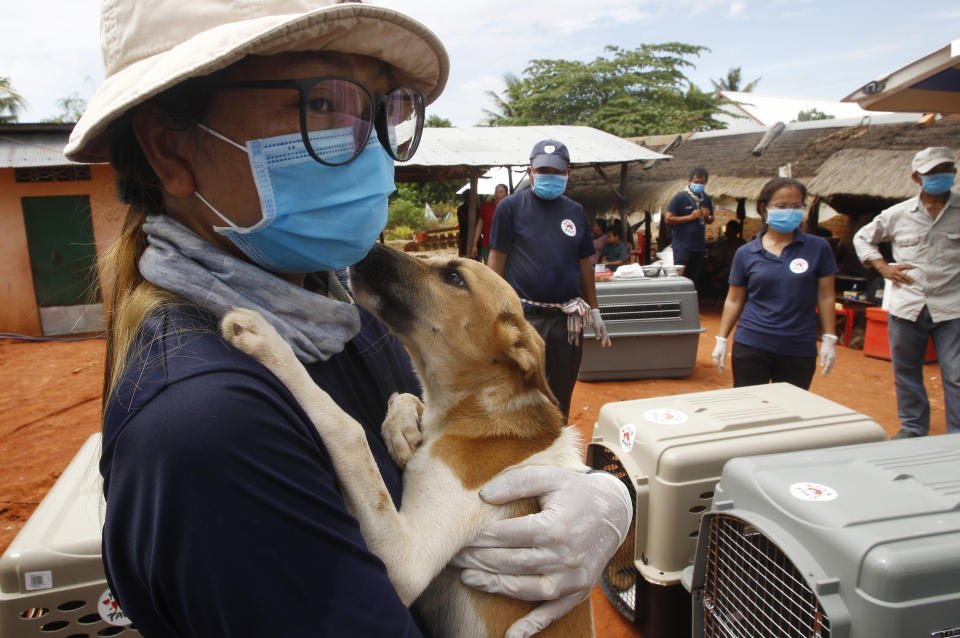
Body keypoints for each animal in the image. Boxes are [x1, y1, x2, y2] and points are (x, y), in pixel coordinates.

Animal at [220, 244, 592, 638]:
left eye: (454, 277)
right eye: (429, 257)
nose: (366, 250)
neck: (482, 408)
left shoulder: (406, 565)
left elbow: (349, 429)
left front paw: (267, 342)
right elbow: (406, 394)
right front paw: (403, 428)